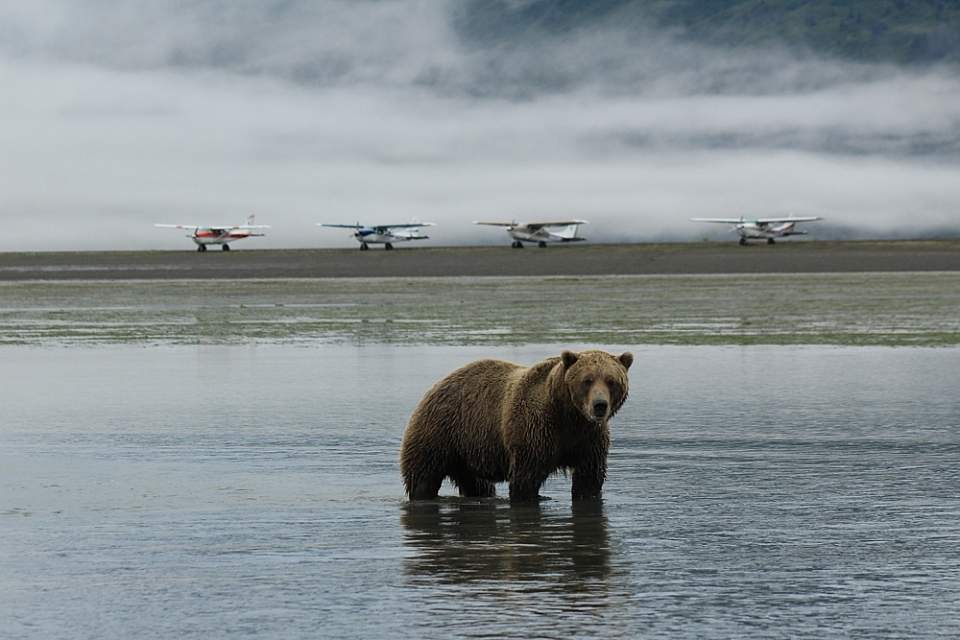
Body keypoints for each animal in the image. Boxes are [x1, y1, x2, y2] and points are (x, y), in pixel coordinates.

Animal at [398, 352, 632, 502]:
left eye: (611, 380)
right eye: (587, 380)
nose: (599, 405)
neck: (568, 415)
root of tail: (435, 386)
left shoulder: (589, 439)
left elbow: (589, 479)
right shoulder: (535, 430)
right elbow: (525, 479)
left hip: (468, 451)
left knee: (477, 484)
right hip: (439, 432)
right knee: (423, 477)